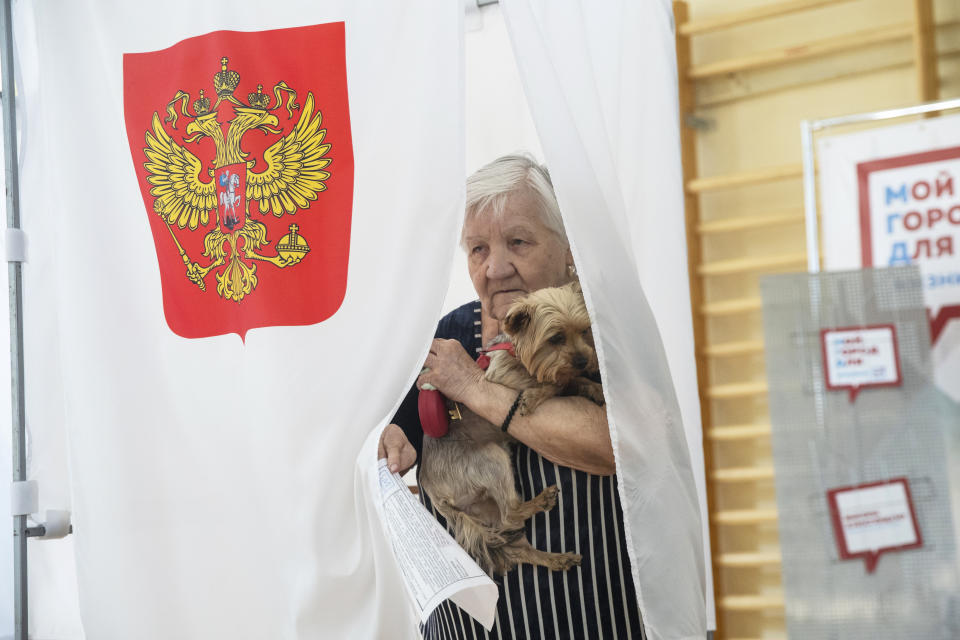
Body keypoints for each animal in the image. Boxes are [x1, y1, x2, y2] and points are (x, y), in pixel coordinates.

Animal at [418, 280, 604, 576]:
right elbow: (555, 383)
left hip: (484, 510)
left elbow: (569, 380)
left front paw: (593, 387)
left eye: (584, 330)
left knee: (517, 543)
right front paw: (535, 396)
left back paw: (556, 559)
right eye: (555, 338)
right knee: (511, 513)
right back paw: (539, 501)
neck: (516, 352)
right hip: (491, 458)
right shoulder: (505, 380)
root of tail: (432, 488)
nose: (583, 361)